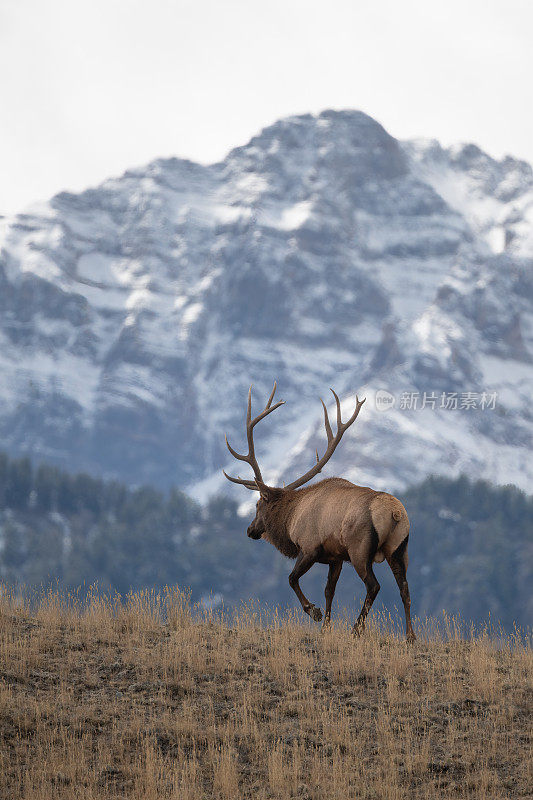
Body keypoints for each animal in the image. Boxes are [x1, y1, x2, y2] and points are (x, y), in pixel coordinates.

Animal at [222, 384, 414, 640]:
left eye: (258, 505)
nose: (250, 529)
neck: (291, 518)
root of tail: (395, 513)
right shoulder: (336, 557)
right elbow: (329, 591)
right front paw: (326, 628)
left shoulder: (310, 547)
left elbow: (292, 579)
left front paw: (314, 612)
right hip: (399, 549)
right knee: (405, 589)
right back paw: (411, 637)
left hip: (360, 549)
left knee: (374, 586)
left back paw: (356, 629)